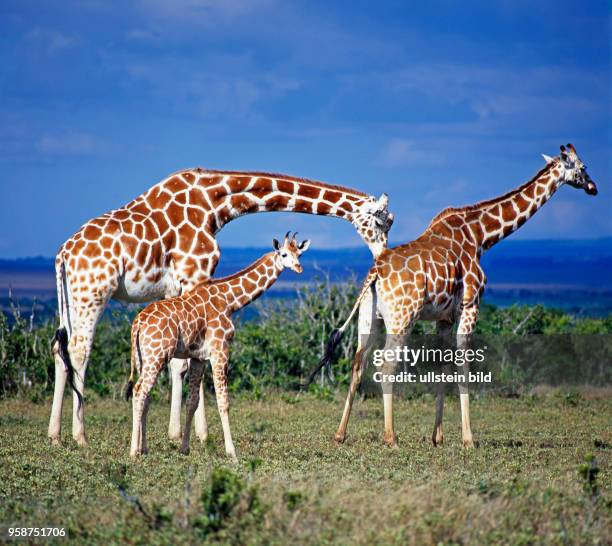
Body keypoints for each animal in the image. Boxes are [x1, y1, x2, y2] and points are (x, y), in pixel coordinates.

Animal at [124, 232, 308, 456]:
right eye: (283, 254)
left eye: (299, 253)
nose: (299, 268)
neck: (230, 301)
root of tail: (138, 324)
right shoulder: (220, 350)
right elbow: (223, 402)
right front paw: (231, 452)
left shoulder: (198, 357)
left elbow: (192, 402)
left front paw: (184, 448)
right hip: (156, 356)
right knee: (140, 391)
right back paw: (133, 451)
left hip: (143, 358)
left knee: (144, 394)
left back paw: (144, 448)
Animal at [308, 143, 596, 446]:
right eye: (582, 167)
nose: (593, 187)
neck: (481, 236)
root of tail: (375, 272)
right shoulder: (471, 304)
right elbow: (464, 366)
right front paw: (468, 439)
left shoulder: (444, 317)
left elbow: (443, 368)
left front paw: (438, 437)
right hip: (402, 317)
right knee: (386, 365)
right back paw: (391, 437)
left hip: (369, 316)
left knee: (358, 361)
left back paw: (340, 434)